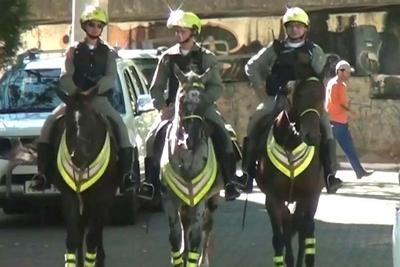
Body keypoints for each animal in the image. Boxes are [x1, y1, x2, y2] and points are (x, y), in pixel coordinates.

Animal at [47, 88, 119, 267]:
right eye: (68, 121)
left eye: (90, 120)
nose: (78, 155)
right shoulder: (69, 196)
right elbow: (73, 236)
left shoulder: (102, 196)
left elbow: (92, 236)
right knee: (81, 230)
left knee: (97, 230)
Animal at [159, 65, 227, 267]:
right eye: (182, 99)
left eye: (204, 101)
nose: (191, 140)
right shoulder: (168, 199)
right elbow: (175, 236)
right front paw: (179, 257)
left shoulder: (200, 200)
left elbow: (196, 237)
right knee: (185, 225)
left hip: (212, 201)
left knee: (207, 227)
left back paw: (203, 260)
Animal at [256, 74, 324, 267]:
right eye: (299, 95)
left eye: (323, 96)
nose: (312, 136)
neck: (291, 144)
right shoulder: (273, 199)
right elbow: (279, 238)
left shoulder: (310, 197)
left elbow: (306, 234)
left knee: (301, 231)